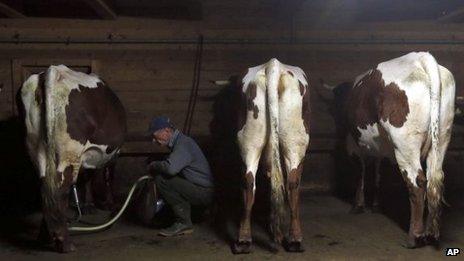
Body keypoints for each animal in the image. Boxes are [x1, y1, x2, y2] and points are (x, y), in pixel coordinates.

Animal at [20, 64, 127, 251]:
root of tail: (54, 71)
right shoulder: (114, 153)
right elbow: (107, 176)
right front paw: (108, 203)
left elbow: (87, 178)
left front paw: (88, 205)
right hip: (68, 153)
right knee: (60, 191)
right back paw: (64, 243)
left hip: (37, 151)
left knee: (47, 190)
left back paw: (45, 237)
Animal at [216, 58, 310, 252]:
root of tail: (272, 65)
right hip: (296, 143)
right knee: (293, 183)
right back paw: (294, 239)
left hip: (250, 142)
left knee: (249, 182)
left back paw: (244, 239)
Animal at [320, 51, 454, 248]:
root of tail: (420, 57)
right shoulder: (380, 150)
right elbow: (377, 174)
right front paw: (375, 205)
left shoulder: (353, 146)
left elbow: (360, 173)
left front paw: (358, 205)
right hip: (442, 138)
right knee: (434, 180)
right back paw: (431, 234)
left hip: (405, 145)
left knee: (417, 183)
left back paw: (414, 237)